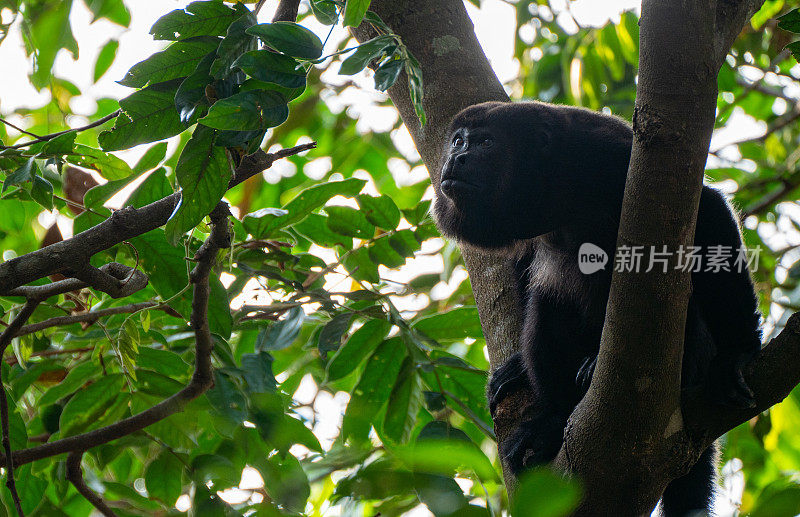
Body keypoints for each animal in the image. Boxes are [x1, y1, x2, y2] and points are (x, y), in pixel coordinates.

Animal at [432, 100, 764, 512]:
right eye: (458, 140)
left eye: (485, 142)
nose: (456, 157)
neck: (551, 192)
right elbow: (526, 266)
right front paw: (519, 370)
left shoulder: (605, 158)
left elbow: (708, 209)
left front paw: (738, 353)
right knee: (548, 305)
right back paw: (553, 423)